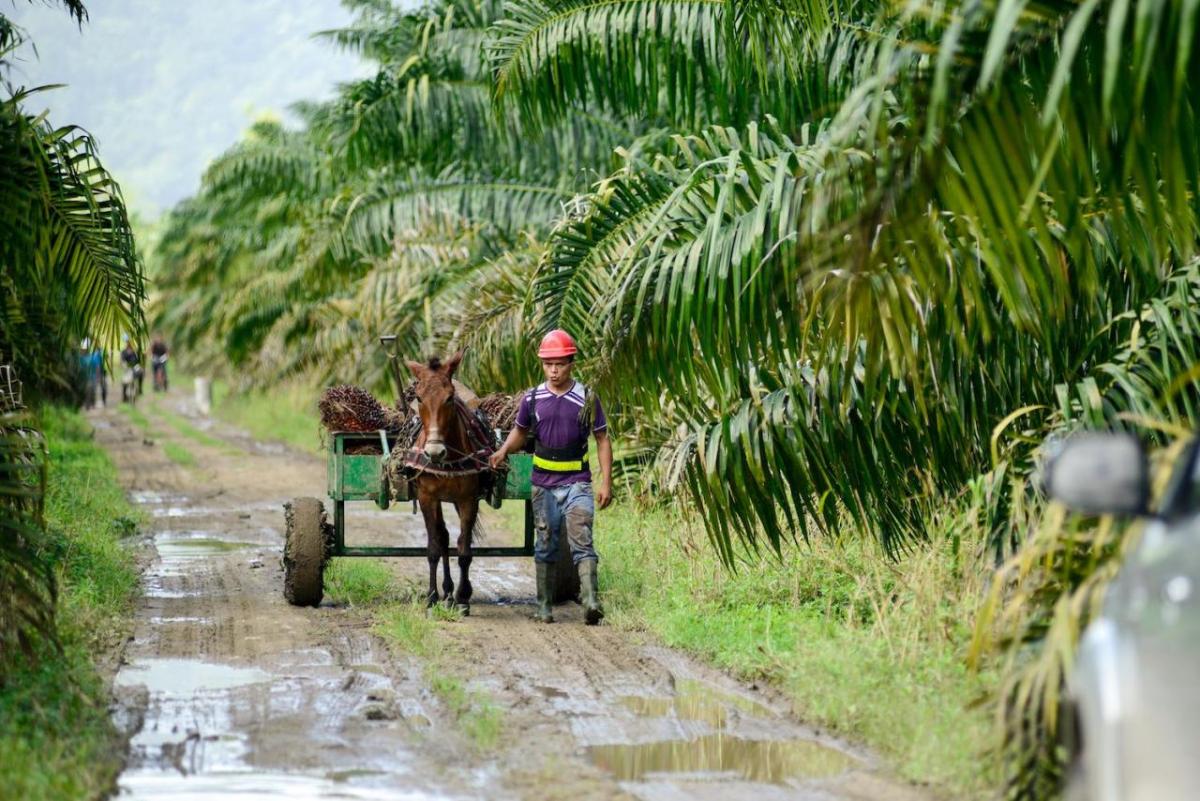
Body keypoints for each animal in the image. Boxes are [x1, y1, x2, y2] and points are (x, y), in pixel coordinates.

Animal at [405, 350, 489, 613]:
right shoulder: (427, 498)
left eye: (450, 398)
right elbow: (434, 546)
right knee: (442, 537)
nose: (434, 452)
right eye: (419, 398)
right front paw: (432, 595)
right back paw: (447, 592)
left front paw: (463, 598)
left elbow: (464, 549)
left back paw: (455, 594)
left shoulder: (468, 500)